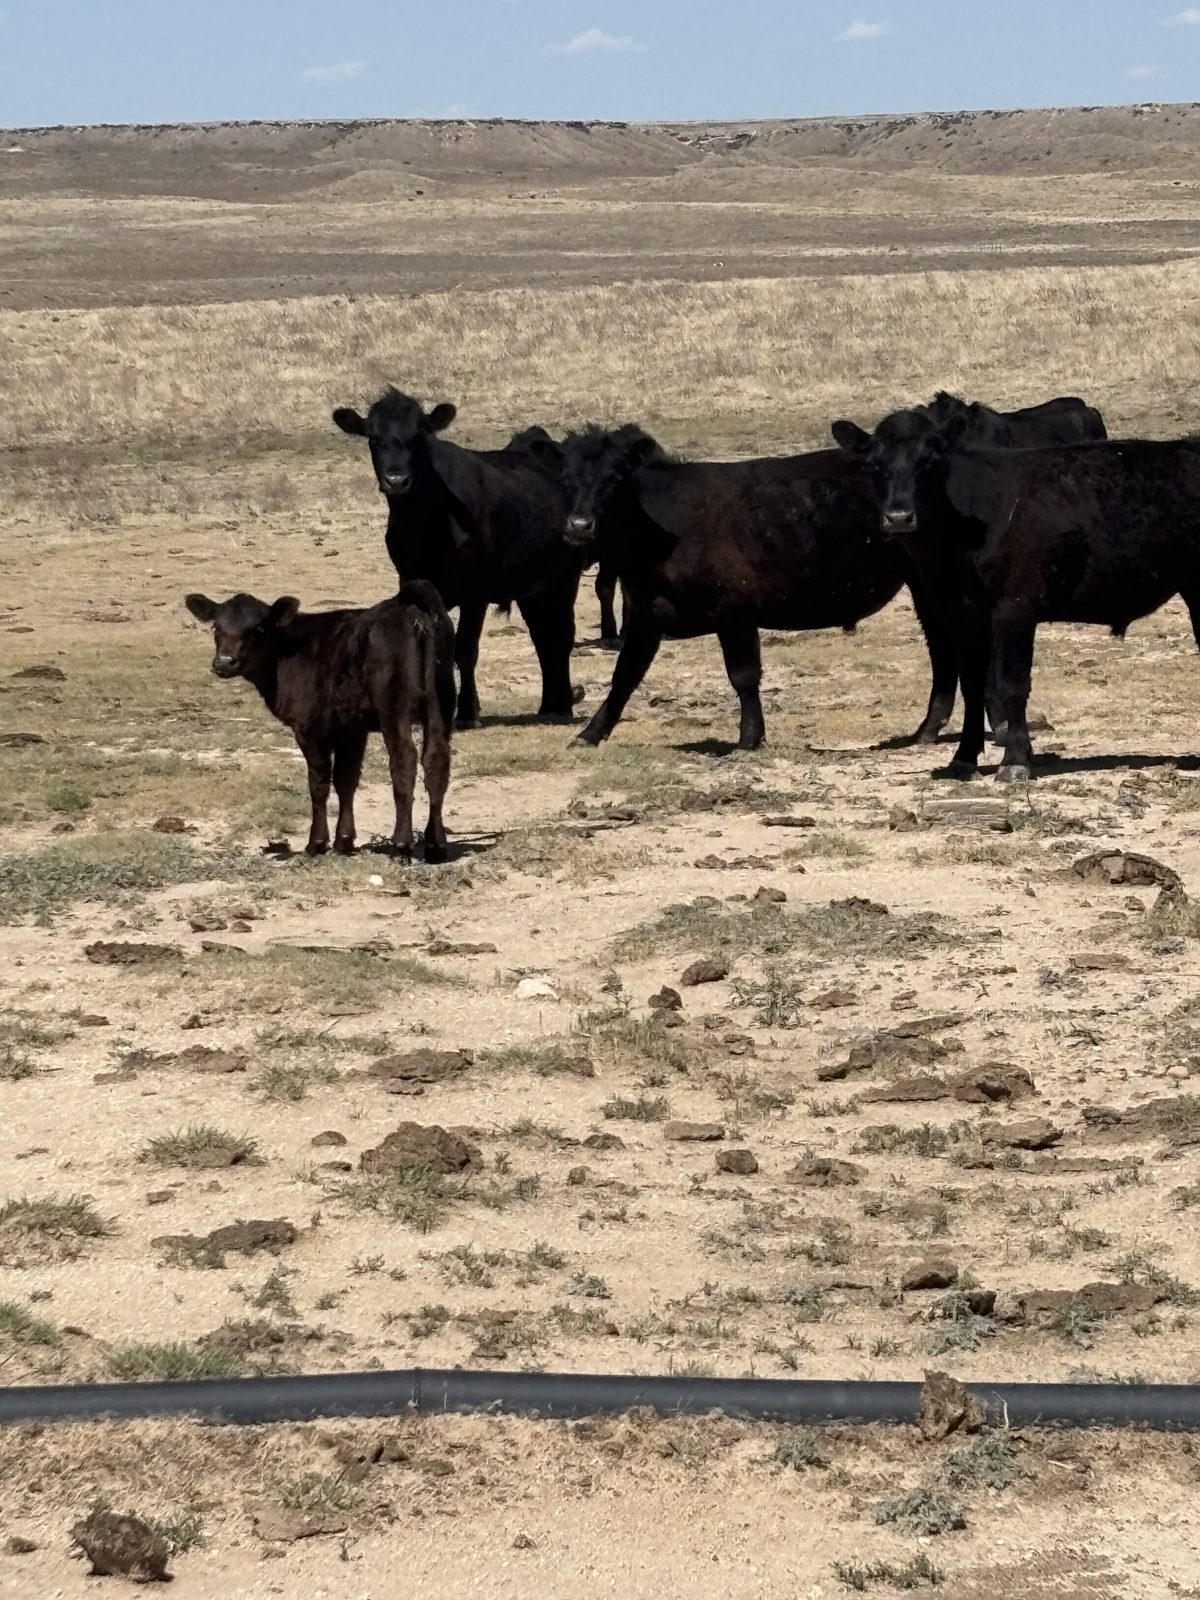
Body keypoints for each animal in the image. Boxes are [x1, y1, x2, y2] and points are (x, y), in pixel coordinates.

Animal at [184, 581, 454, 861]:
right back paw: (436, 845)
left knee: (404, 760)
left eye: (258, 629)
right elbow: (346, 779)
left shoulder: (309, 727)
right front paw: (344, 841)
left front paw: (317, 843)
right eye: (216, 627)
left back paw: (401, 843)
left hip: (394, 705)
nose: (225, 661)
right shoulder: (352, 728)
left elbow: (319, 783)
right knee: (437, 760)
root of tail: (411, 606)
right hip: (441, 701)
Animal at [332, 389, 585, 729]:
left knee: (561, 636)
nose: (396, 479)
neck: (424, 523)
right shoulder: (411, 581)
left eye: (418, 437)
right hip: (534, 587)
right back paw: (548, 705)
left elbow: (465, 650)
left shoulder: (475, 592)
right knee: (543, 638)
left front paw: (467, 712)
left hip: (565, 576)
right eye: (373, 438)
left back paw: (562, 708)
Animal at [553, 423, 963, 750]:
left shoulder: (734, 611)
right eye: (567, 479)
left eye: (614, 479)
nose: (579, 525)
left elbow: (743, 677)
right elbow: (624, 675)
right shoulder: (647, 613)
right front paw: (590, 734)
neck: (662, 528)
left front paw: (749, 738)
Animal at [830, 406, 1200, 782]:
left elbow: (1011, 682)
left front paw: (1016, 759)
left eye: (929, 460)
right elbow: (974, 683)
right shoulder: (960, 613)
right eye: (874, 464)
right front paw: (963, 759)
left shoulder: (1015, 606)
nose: (899, 517)